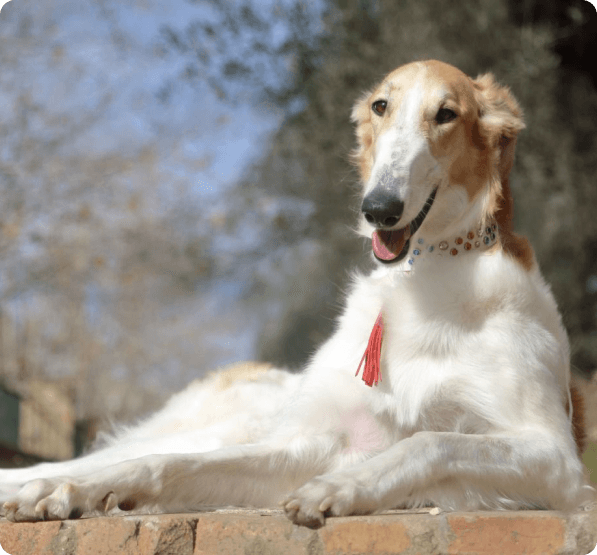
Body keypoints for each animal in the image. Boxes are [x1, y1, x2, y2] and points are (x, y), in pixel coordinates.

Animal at [0, 59, 592, 524]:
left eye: (447, 114)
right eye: (381, 106)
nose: (379, 208)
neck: (419, 283)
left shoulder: (557, 458)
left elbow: (431, 440)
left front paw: (339, 488)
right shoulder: (312, 440)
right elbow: (167, 465)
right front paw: (75, 492)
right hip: (229, 420)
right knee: (109, 455)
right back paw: (43, 484)